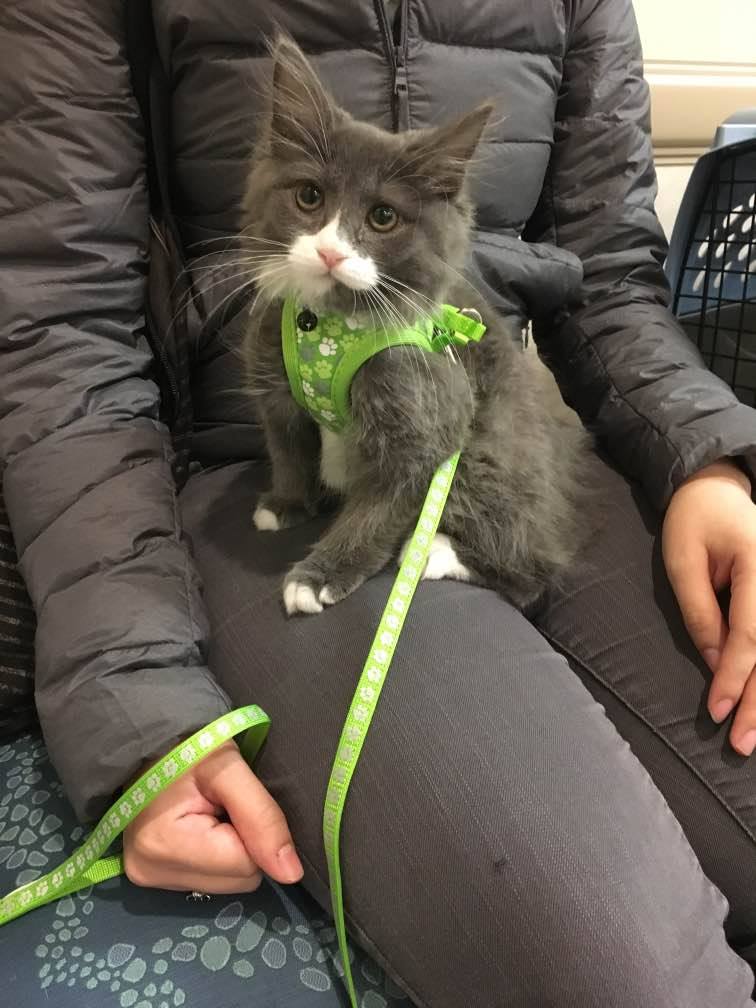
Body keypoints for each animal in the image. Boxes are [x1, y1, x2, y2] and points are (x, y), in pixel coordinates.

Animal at [243, 36, 592, 615]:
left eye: (383, 217)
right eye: (309, 197)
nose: (331, 252)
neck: (332, 325)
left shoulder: (427, 417)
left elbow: (378, 509)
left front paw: (320, 575)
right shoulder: (277, 386)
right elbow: (288, 448)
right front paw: (287, 502)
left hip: (485, 451)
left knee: (533, 570)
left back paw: (430, 553)